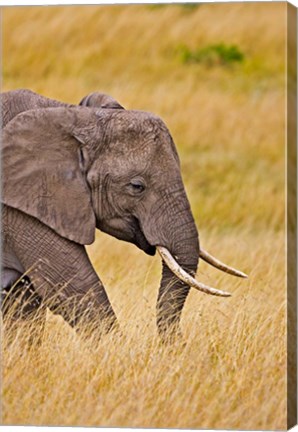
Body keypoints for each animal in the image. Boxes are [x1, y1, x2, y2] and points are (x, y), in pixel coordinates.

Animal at [0, 90, 247, 340]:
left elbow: (23, 303)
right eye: (137, 186)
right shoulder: (20, 205)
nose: (179, 343)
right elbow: (74, 284)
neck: (73, 117)